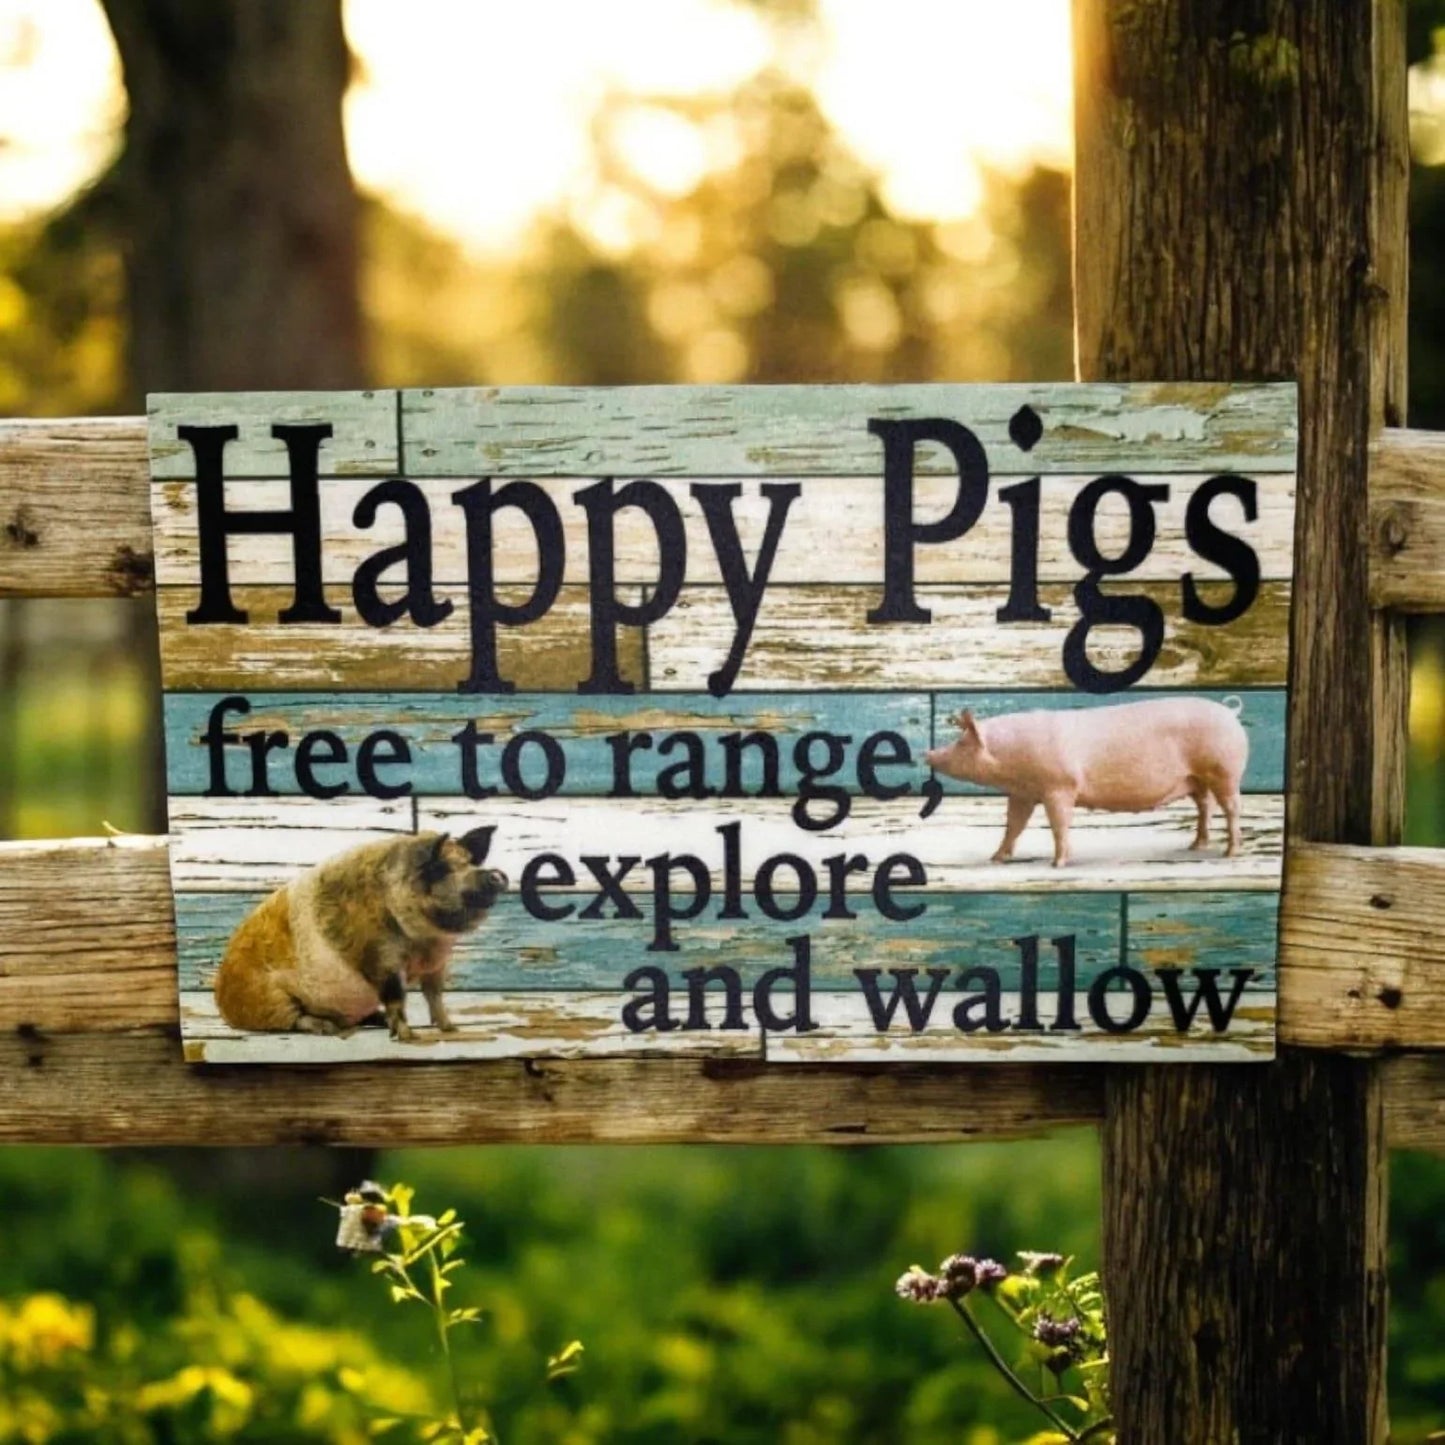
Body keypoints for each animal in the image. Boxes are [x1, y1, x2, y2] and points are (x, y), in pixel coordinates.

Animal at [924, 697, 1248, 867]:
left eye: (961, 744)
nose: (928, 753)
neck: (1013, 762)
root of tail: (1231, 713)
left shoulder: (1060, 787)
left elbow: (1059, 824)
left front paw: (1057, 864)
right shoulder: (1023, 793)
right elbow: (1014, 824)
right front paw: (996, 858)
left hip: (1225, 771)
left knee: (1232, 808)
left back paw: (1229, 853)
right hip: (1197, 779)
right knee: (1205, 806)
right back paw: (1195, 846)